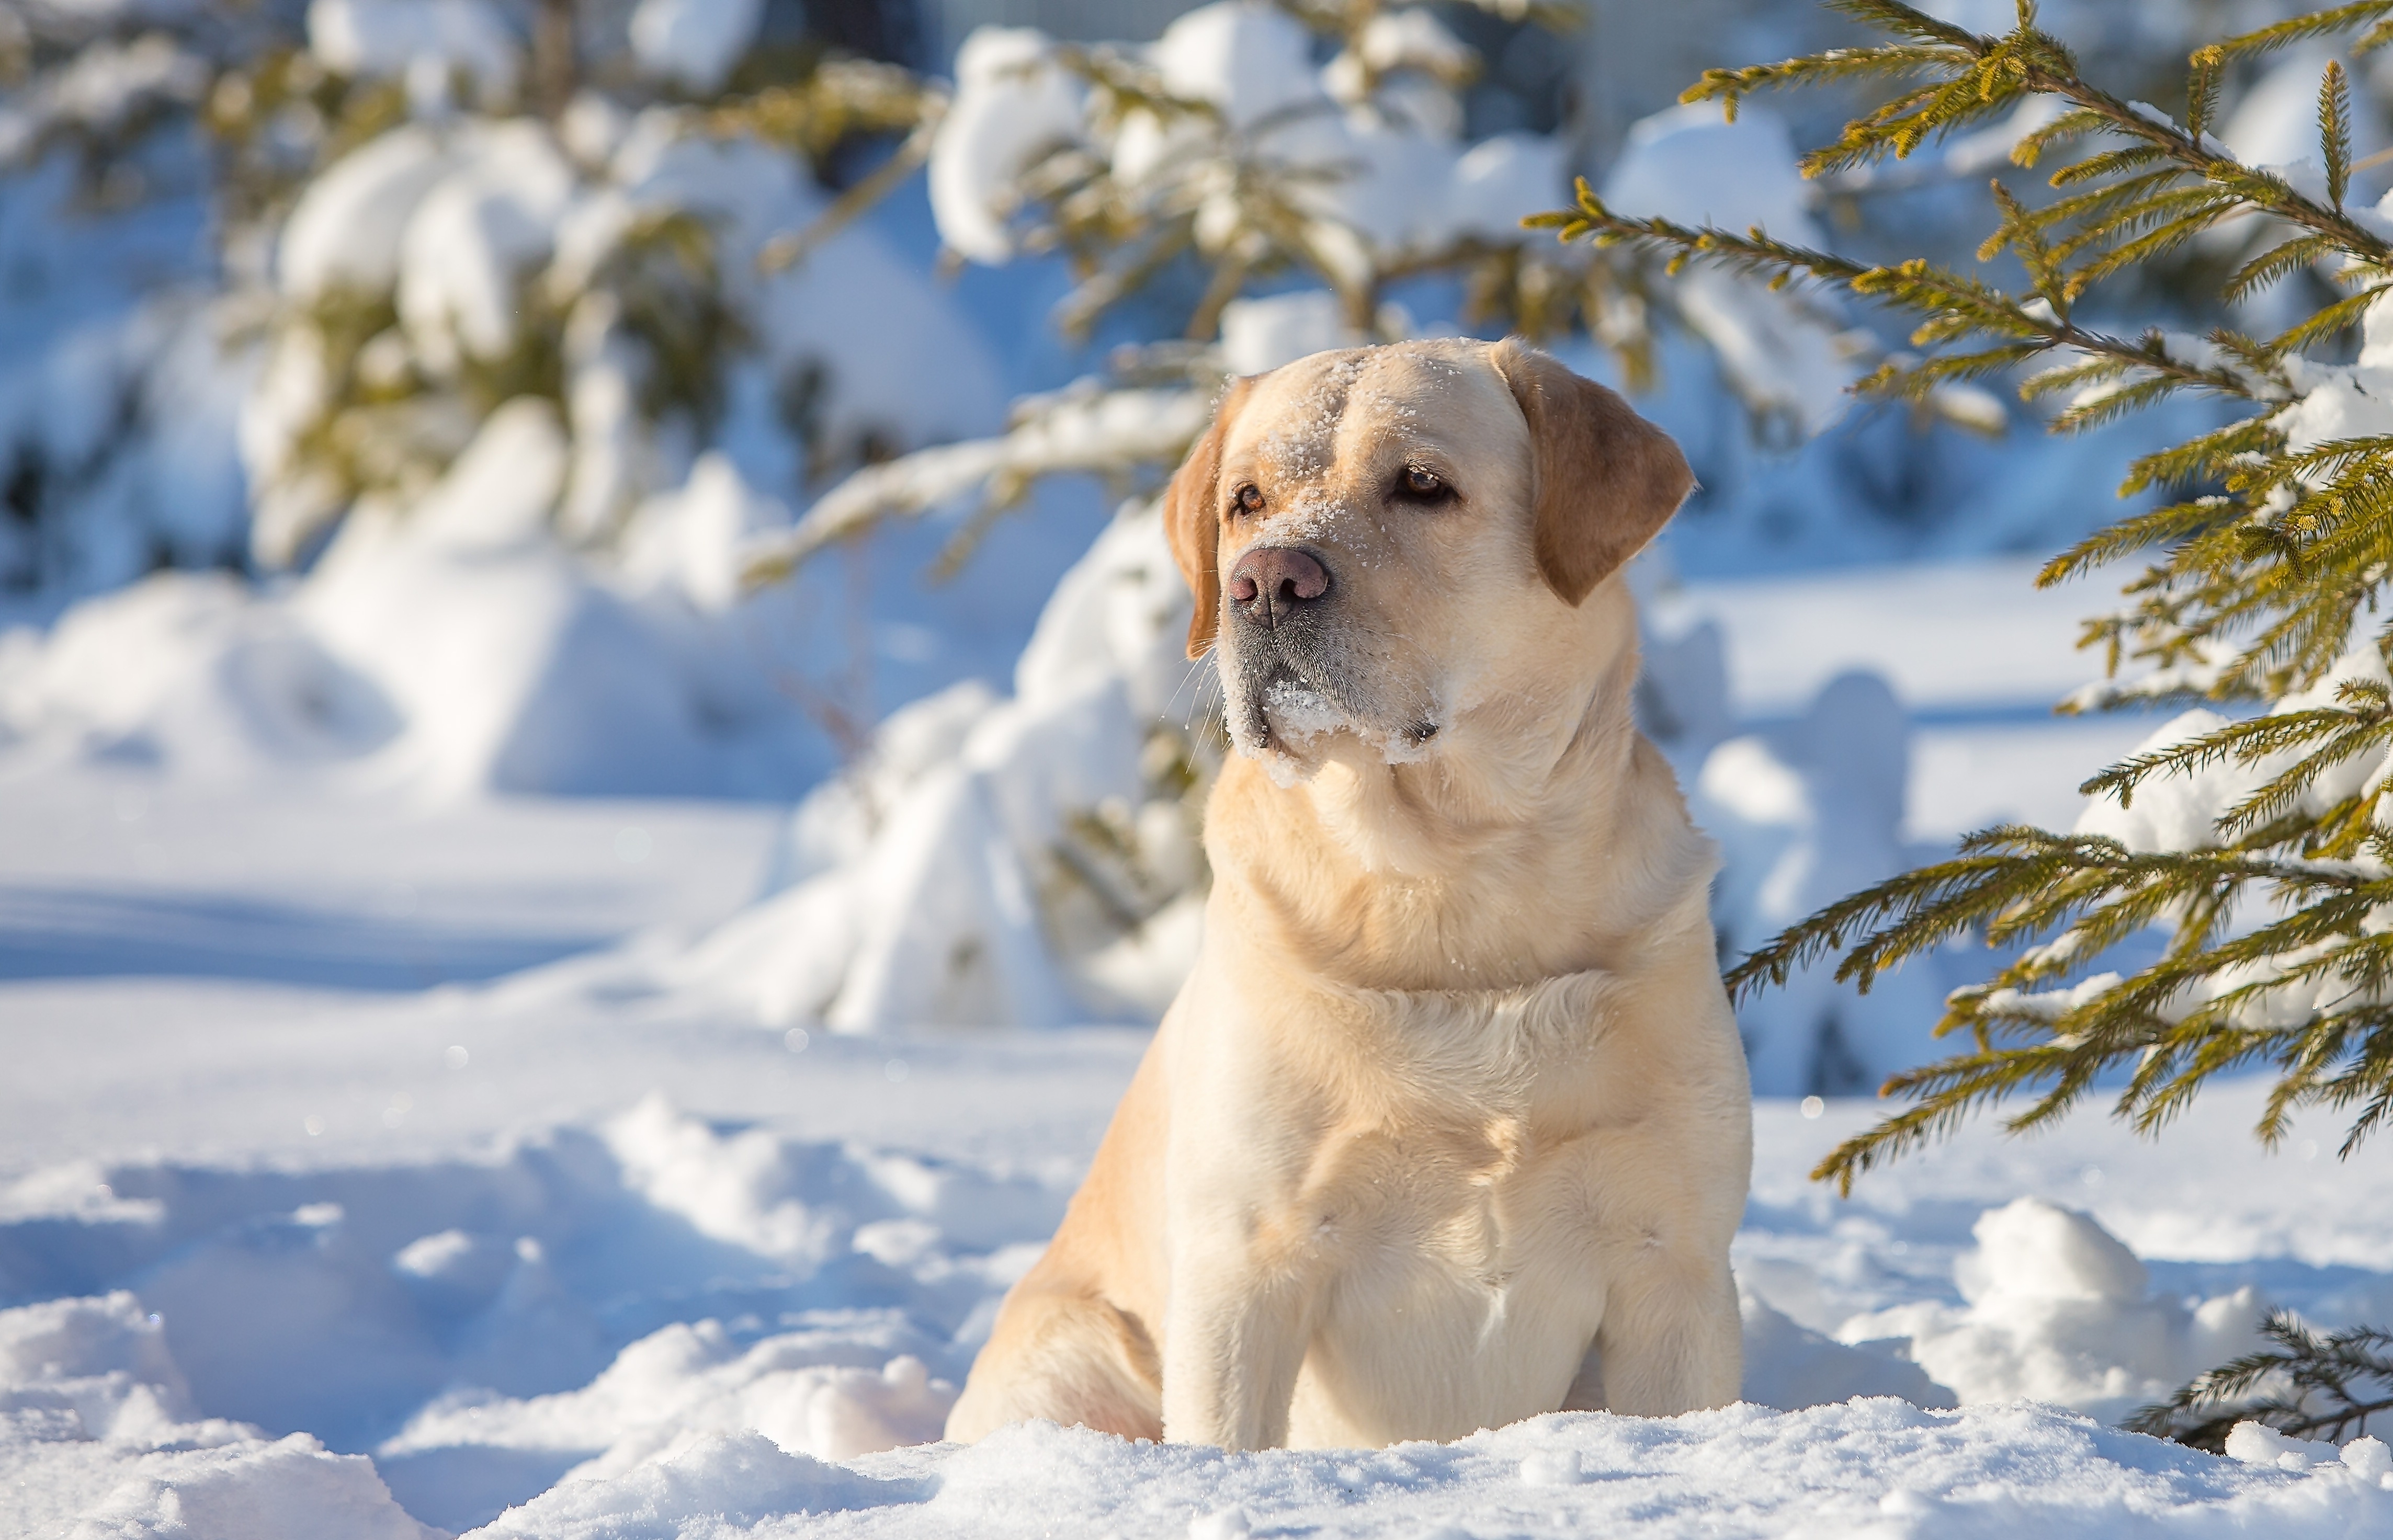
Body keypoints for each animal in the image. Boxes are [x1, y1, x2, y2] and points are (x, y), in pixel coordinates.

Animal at [943, 337, 1751, 1454]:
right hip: (1075, 1353)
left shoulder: (1672, 1261)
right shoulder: (1246, 1267)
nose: (1266, 582)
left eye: (1421, 484)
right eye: (1245, 501)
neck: (1450, 886)